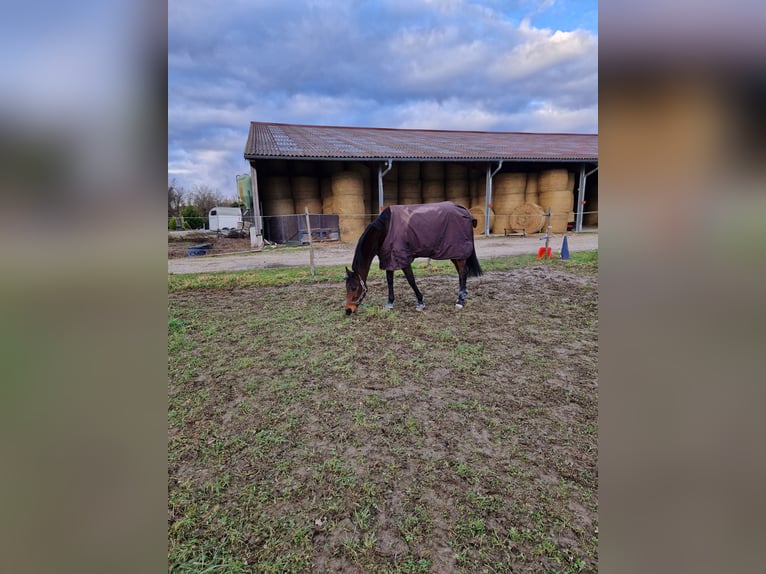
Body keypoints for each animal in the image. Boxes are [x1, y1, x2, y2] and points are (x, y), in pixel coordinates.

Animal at [344, 201, 484, 318]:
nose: (348, 310)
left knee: (462, 272)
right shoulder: (389, 258)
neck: (386, 229)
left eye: (354, 288)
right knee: (462, 272)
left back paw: (460, 301)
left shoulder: (402, 258)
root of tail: (466, 212)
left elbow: (411, 280)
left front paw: (420, 302)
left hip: (457, 252)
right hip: (455, 254)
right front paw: (390, 303)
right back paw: (462, 294)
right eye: (346, 287)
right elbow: (390, 281)